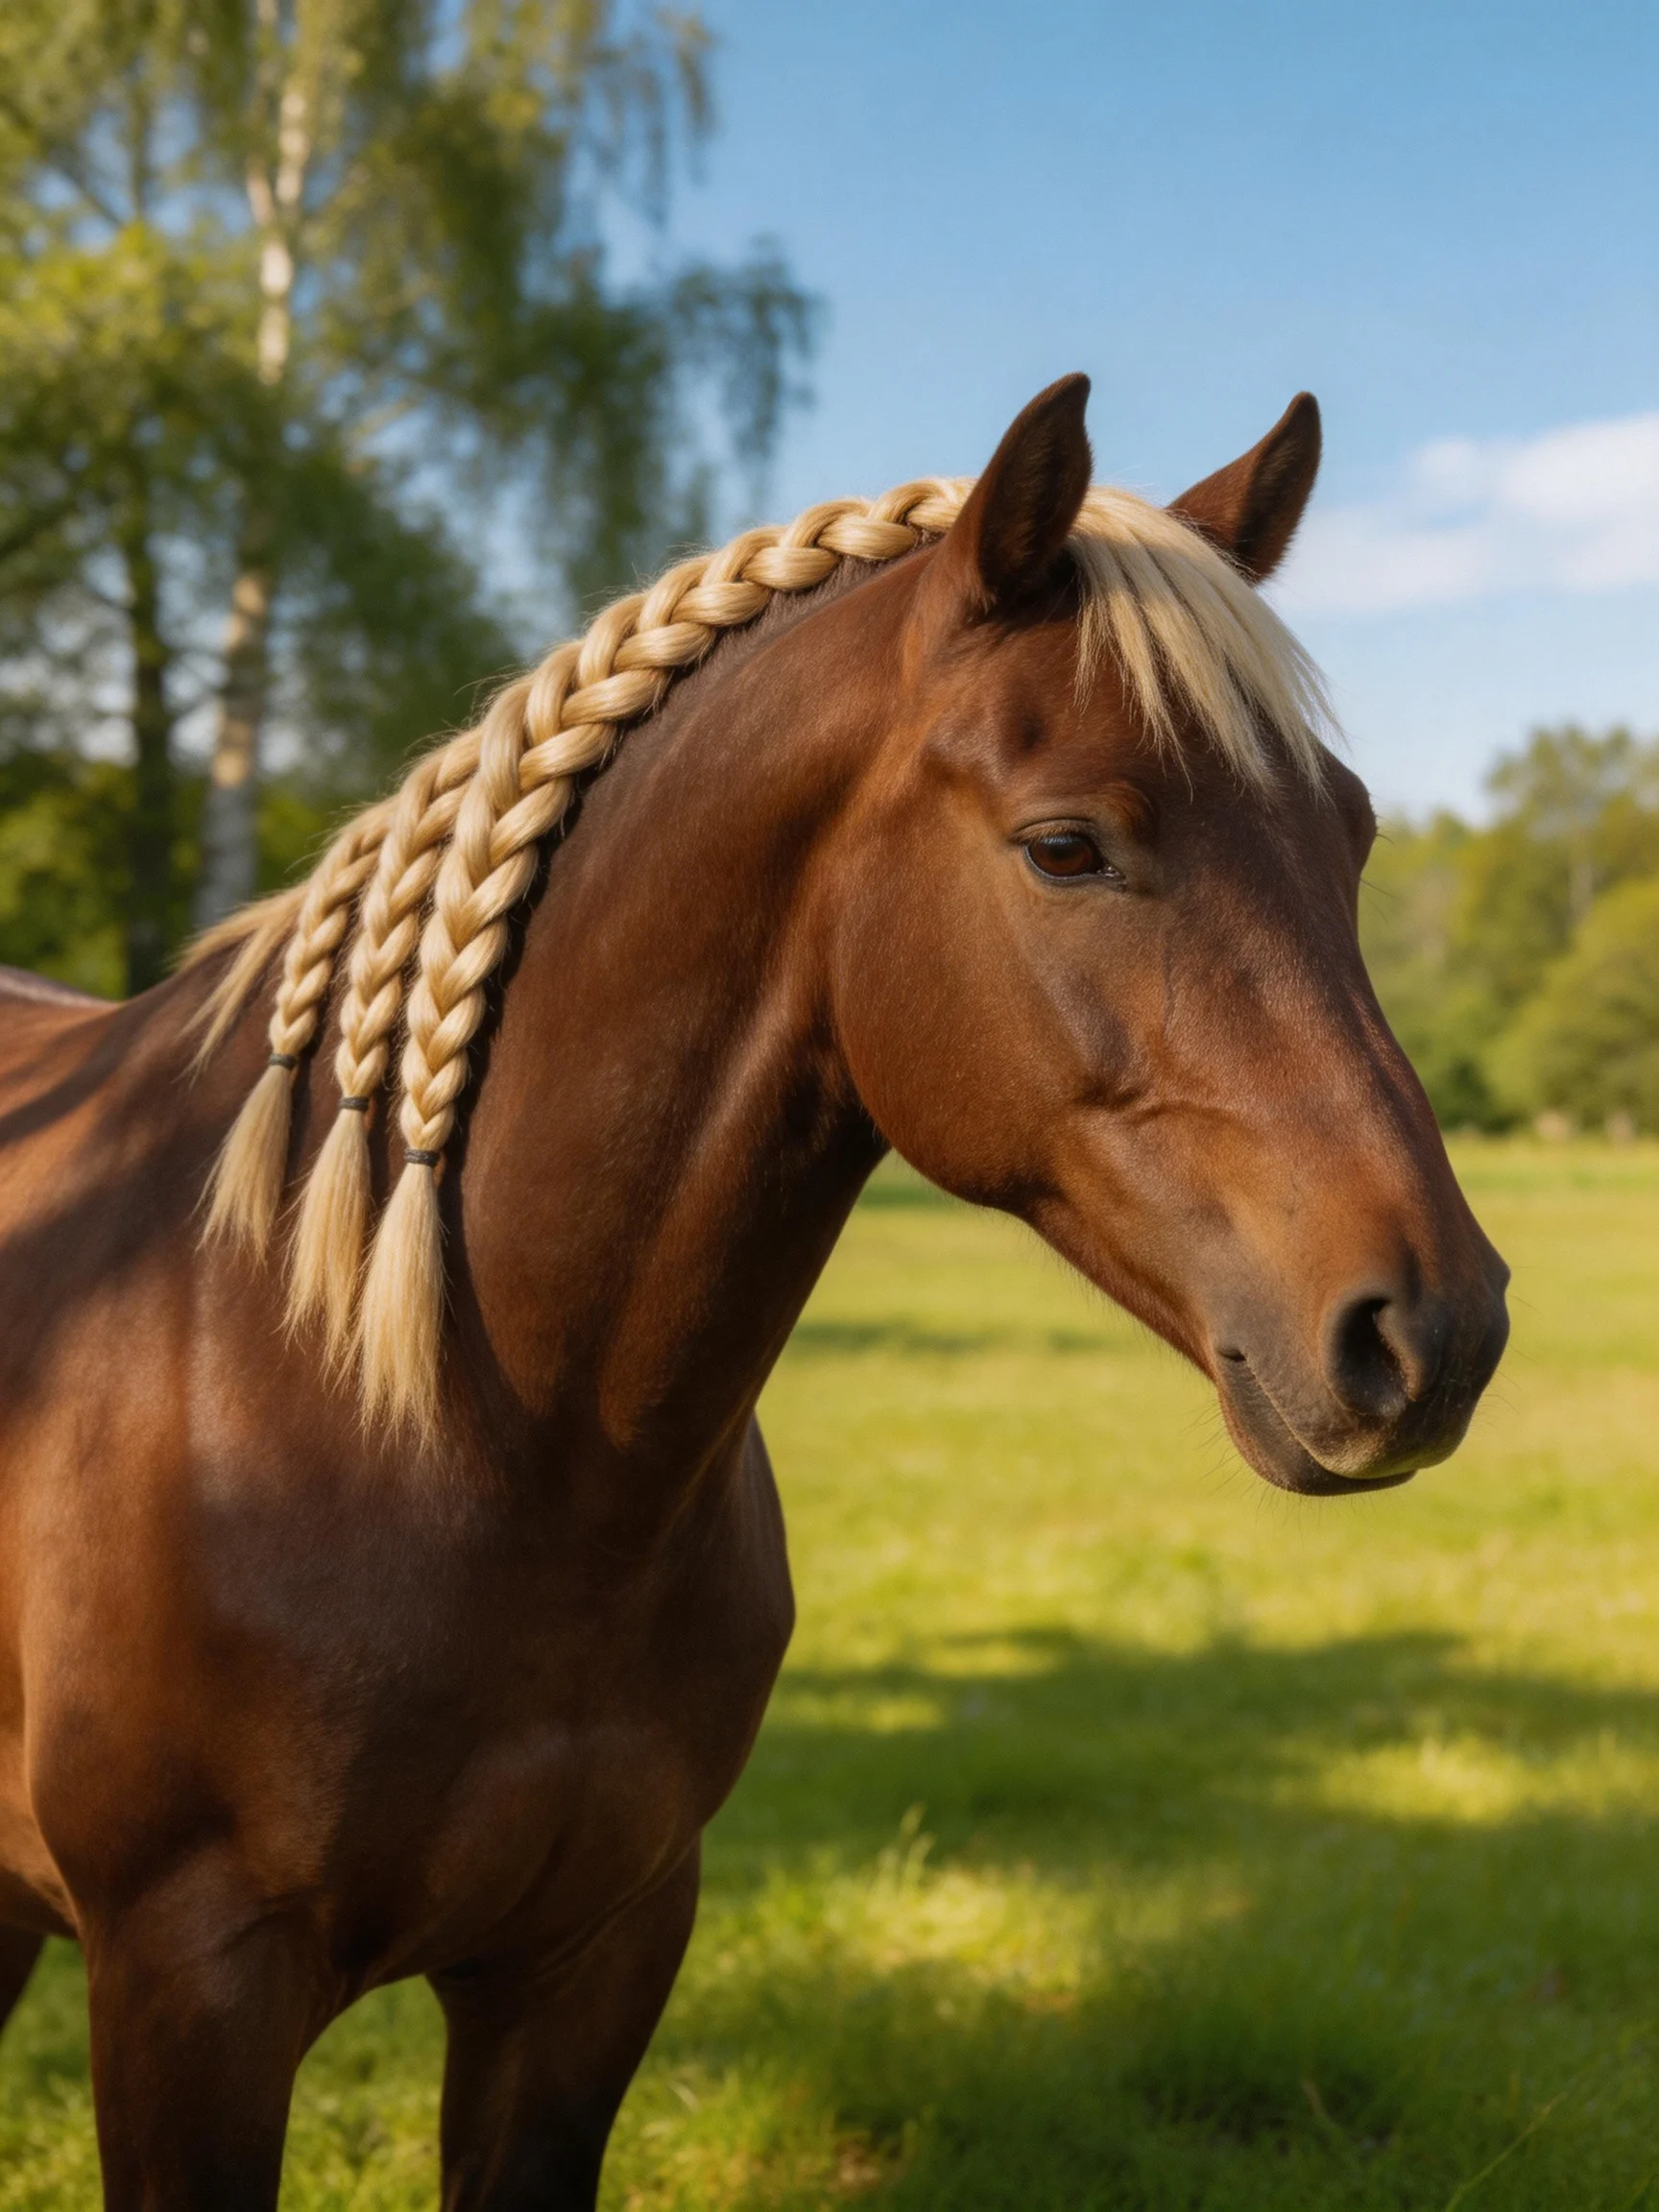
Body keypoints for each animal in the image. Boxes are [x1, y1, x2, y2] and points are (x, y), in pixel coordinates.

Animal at [0, 375, 1508, 2206]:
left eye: (1349, 836)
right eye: (1065, 846)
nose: (1432, 1330)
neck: (411, 1415)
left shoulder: (588, 1968)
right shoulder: (187, 1993)